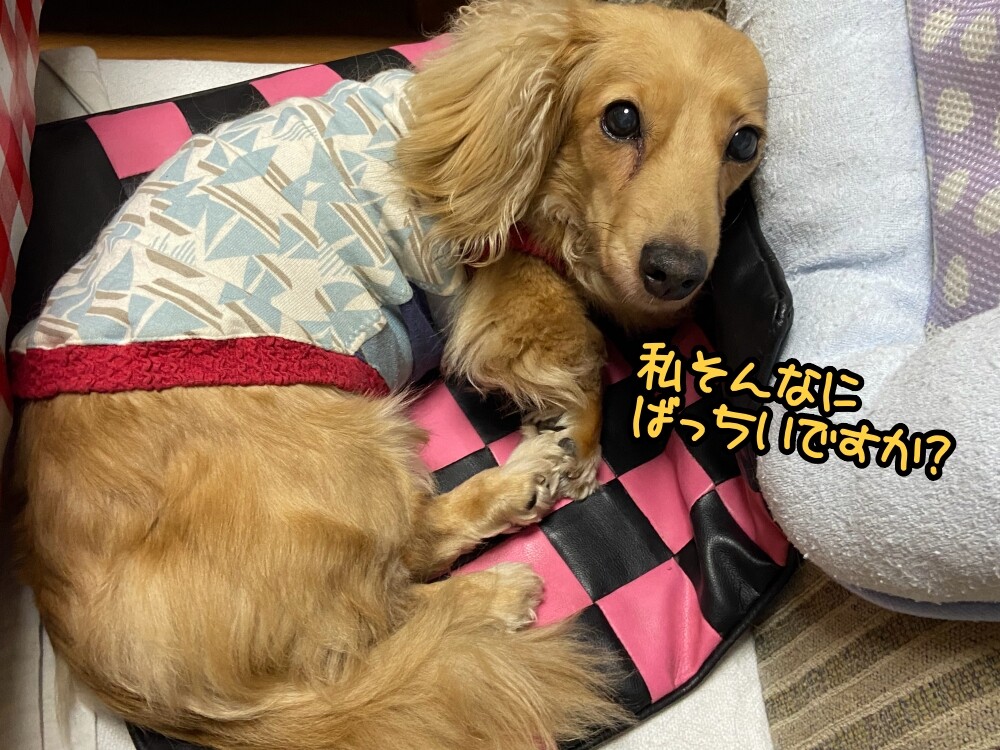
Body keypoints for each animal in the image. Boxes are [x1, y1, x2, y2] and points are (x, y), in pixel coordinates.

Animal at [9, 1, 767, 748]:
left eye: (745, 144)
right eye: (620, 119)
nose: (676, 272)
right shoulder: (510, 300)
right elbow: (581, 355)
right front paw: (579, 445)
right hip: (347, 439)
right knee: (402, 576)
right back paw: (502, 565)